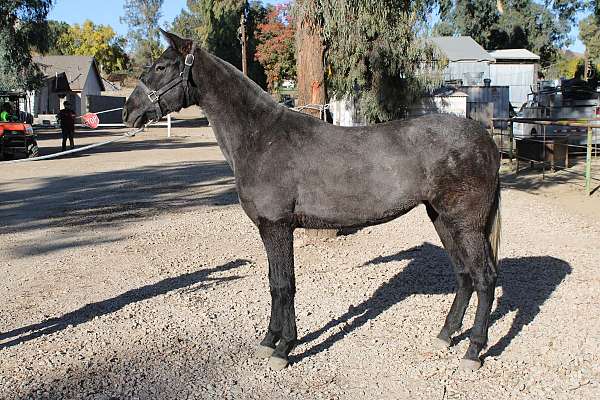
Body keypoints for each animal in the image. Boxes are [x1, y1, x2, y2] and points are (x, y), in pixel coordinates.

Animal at [124, 30, 504, 372]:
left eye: (161, 66)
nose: (129, 111)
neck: (261, 137)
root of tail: (485, 139)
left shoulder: (277, 226)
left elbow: (285, 285)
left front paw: (284, 348)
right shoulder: (270, 229)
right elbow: (274, 283)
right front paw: (268, 341)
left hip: (466, 224)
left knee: (485, 278)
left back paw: (473, 352)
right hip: (442, 219)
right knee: (464, 275)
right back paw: (445, 336)